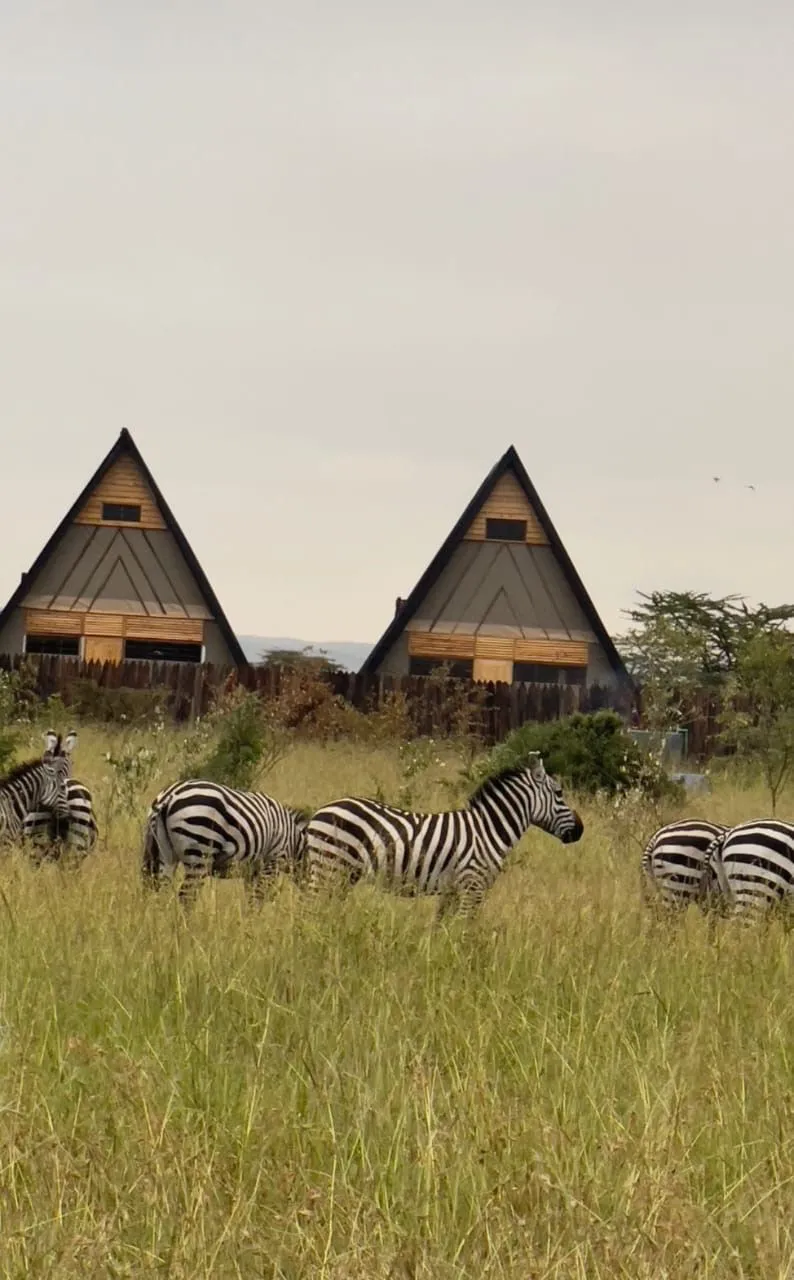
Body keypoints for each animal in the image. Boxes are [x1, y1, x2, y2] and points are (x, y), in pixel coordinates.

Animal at [141, 778, 310, 903]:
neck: (295, 840)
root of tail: (170, 795)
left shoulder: (252, 869)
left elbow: (250, 898)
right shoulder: (273, 861)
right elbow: (258, 898)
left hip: (164, 853)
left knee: (162, 892)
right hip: (199, 854)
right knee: (186, 896)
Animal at [303, 753, 584, 915]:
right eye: (559, 793)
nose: (581, 830)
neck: (489, 830)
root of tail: (320, 812)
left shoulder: (453, 890)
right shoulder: (473, 886)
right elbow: (465, 931)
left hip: (342, 874)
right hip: (330, 867)